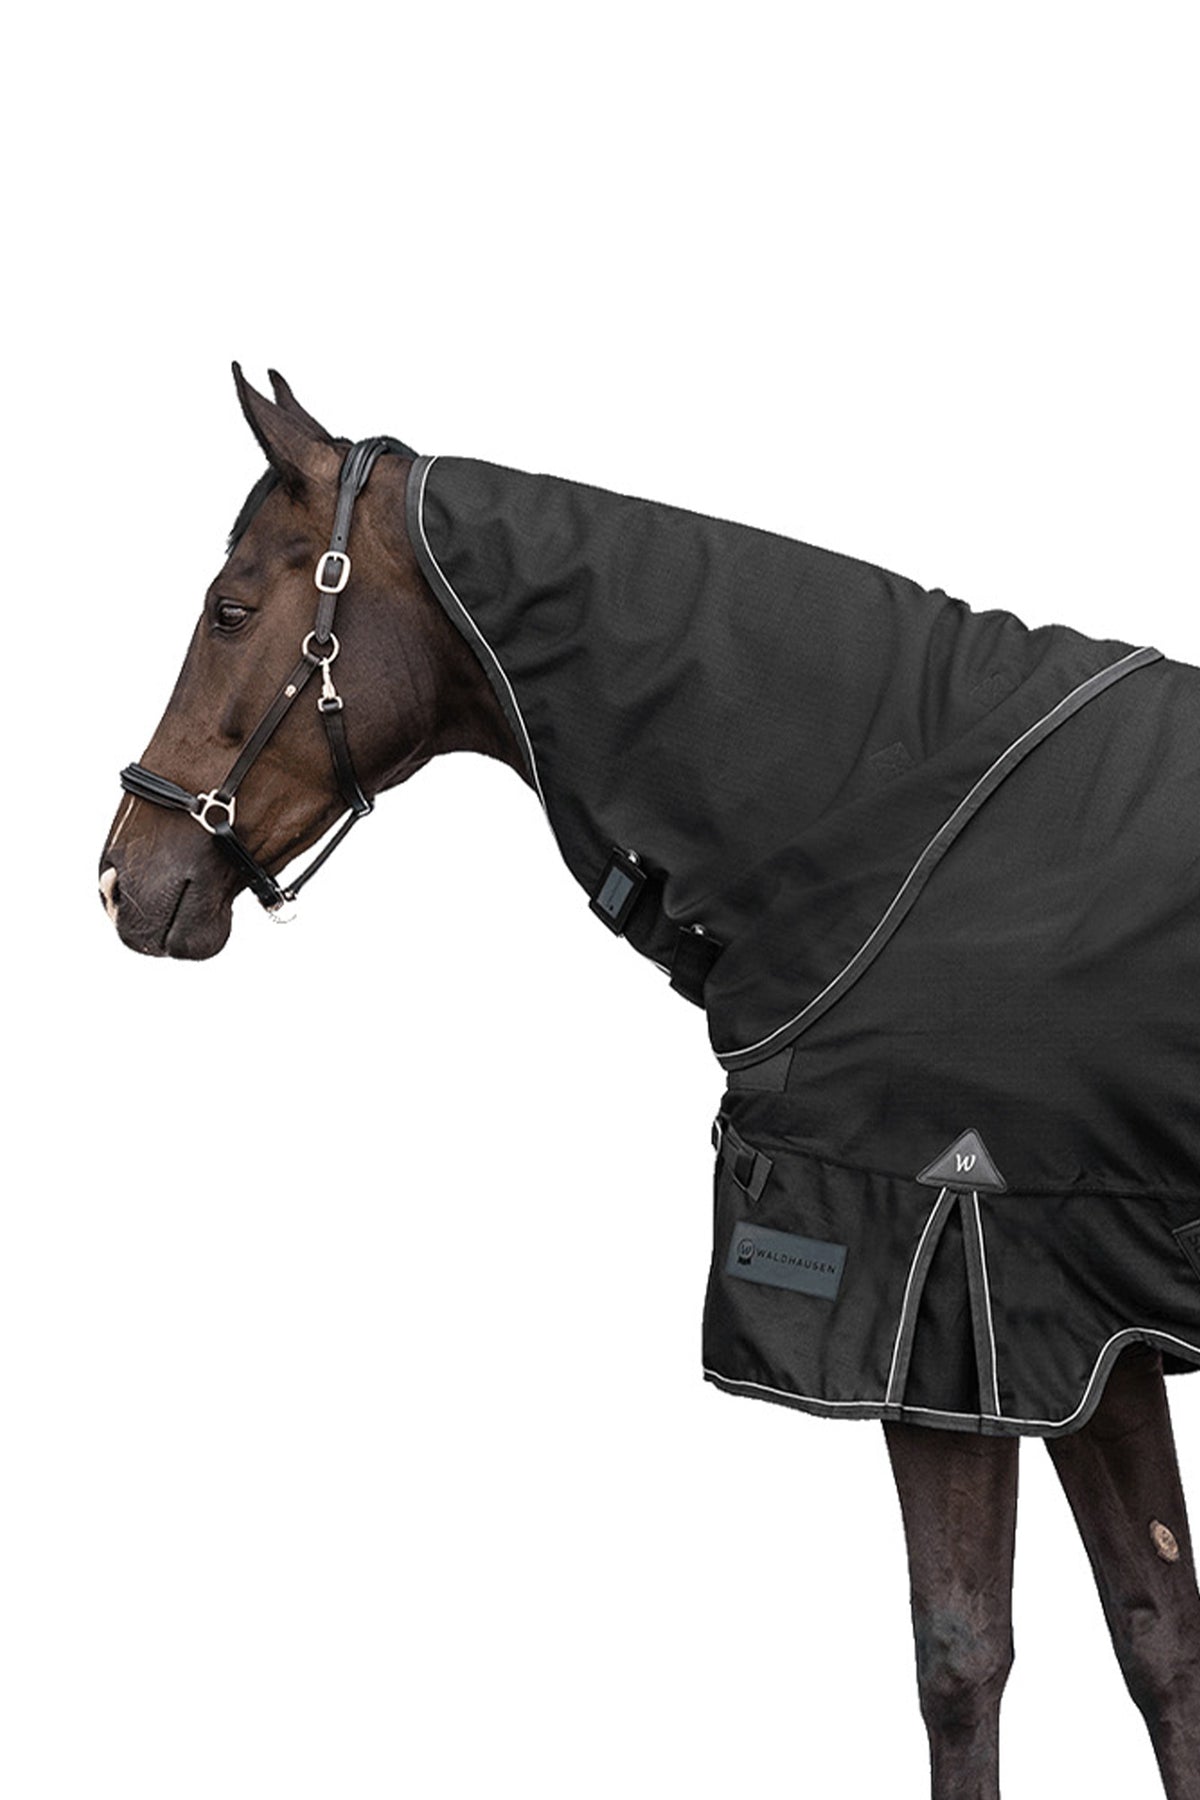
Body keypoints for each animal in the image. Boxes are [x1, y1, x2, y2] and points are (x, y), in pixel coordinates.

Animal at [99, 366, 1200, 1798]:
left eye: (230, 610)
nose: (126, 876)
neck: (892, 810)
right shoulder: (1077, 1329)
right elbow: (1159, 1639)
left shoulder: (942, 1308)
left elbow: (965, 1660)